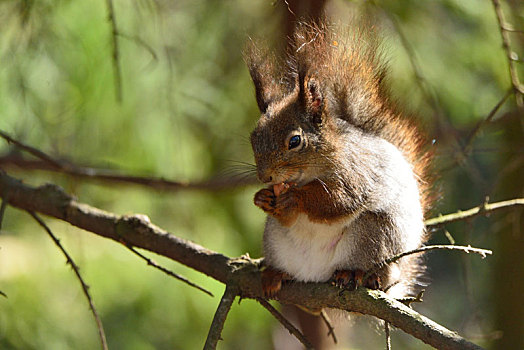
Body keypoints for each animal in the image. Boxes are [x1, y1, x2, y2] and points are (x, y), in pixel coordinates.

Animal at [246, 21, 430, 300]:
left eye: (294, 141)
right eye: (253, 138)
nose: (264, 177)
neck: (308, 175)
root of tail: (315, 274)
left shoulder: (355, 174)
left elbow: (337, 201)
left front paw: (296, 198)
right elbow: (289, 215)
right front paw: (262, 197)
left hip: (374, 235)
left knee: (379, 270)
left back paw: (355, 274)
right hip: (274, 238)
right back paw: (275, 275)